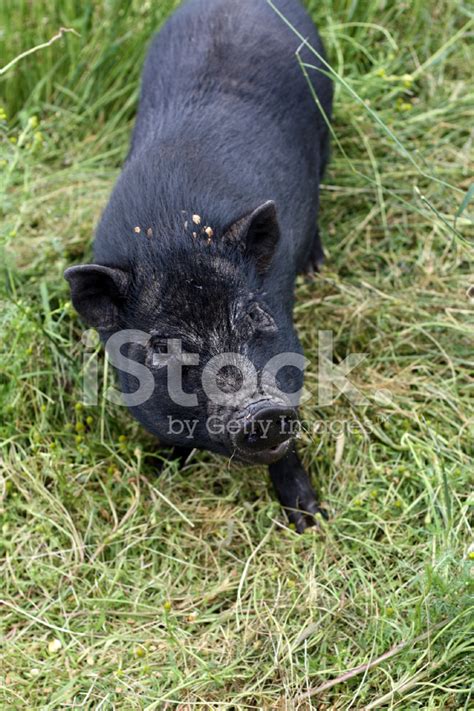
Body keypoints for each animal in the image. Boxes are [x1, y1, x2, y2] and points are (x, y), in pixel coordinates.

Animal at [65, 0, 334, 536]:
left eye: (253, 315)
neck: (173, 234)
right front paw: (165, 468)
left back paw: (316, 265)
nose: (261, 409)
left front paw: (309, 521)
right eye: (163, 348)